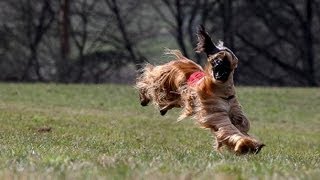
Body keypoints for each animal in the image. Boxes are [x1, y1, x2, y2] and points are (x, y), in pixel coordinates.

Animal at [136, 25, 264, 155]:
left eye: (226, 63)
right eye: (217, 59)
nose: (219, 72)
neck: (223, 90)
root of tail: (182, 62)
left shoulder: (236, 116)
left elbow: (239, 130)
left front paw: (251, 145)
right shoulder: (217, 114)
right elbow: (230, 130)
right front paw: (246, 145)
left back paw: (162, 109)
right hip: (164, 81)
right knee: (148, 82)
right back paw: (143, 98)